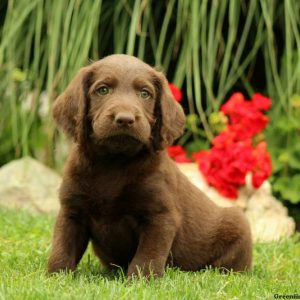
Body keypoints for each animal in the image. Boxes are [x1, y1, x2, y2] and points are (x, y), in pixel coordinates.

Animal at [48, 54, 252, 276]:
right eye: (102, 90)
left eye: (145, 93)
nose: (125, 119)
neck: (113, 162)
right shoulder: (71, 211)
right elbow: (62, 247)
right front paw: (56, 276)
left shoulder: (160, 216)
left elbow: (148, 254)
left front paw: (142, 279)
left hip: (238, 224)